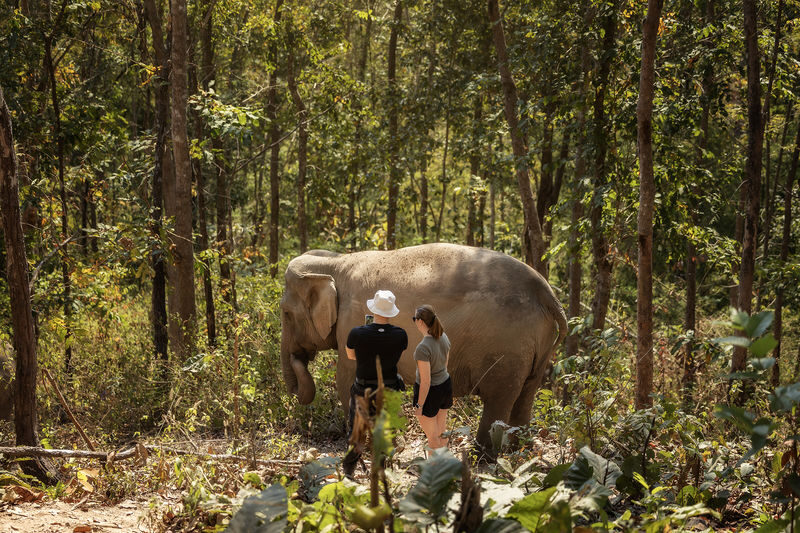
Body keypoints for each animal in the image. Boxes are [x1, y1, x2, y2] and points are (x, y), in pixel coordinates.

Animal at [279, 243, 567, 449]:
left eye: (285, 313)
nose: (298, 357)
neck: (336, 262)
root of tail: (548, 294)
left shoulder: (352, 322)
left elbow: (348, 381)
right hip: (537, 346)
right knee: (526, 394)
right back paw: (517, 451)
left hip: (506, 347)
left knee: (498, 398)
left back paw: (483, 455)